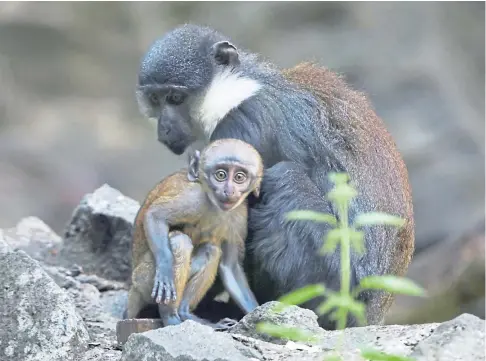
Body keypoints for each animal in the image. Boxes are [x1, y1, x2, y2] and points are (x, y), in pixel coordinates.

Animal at [125, 138, 262, 330]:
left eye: (239, 177)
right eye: (221, 175)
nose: (229, 191)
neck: (215, 206)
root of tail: (134, 288)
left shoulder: (240, 216)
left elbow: (230, 267)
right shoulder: (194, 199)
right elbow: (154, 215)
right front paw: (166, 270)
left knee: (211, 250)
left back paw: (185, 312)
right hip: (143, 278)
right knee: (180, 241)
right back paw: (170, 316)